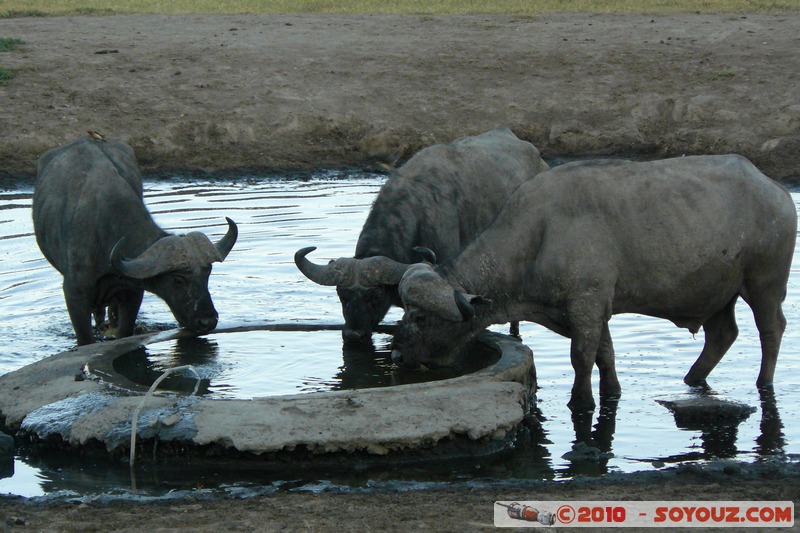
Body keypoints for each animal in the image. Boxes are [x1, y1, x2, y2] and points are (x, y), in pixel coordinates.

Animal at [33, 136, 238, 344]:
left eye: (207, 273)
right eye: (177, 280)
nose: (207, 321)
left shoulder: (132, 293)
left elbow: (124, 330)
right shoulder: (74, 295)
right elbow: (85, 338)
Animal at [296, 154, 796, 408]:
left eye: (418, 316)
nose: (397, 355)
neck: (538, 235)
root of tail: (774, 189)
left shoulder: (587, 305)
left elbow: (582, 359)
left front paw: (582, 402)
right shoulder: (594, 311)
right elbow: (605, 356)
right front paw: (613, 392)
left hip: (764, 282)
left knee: (771, 330)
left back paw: (763, 383)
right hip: (719, 291)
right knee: (723, 333)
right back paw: (693, 379)